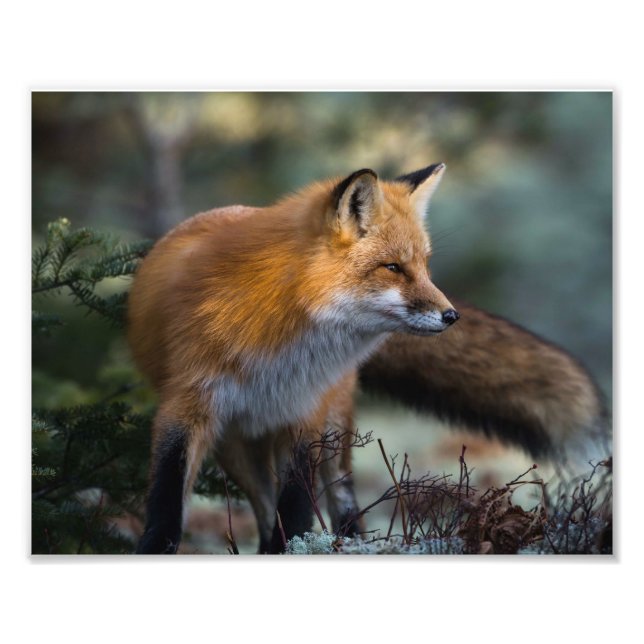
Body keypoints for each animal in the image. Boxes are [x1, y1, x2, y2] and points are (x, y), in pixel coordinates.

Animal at [127, 163, 608, 554]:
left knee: (341, 499)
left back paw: (349, 542)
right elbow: (168, 501)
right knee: (263, 509)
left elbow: (295, 509)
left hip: (332, 427)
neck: (276, 344)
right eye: (393, 267)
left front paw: (293, 549)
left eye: (425, 266)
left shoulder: (304, 415)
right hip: (235, 444)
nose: (451, 315)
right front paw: (156, 548)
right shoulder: (186, 406)